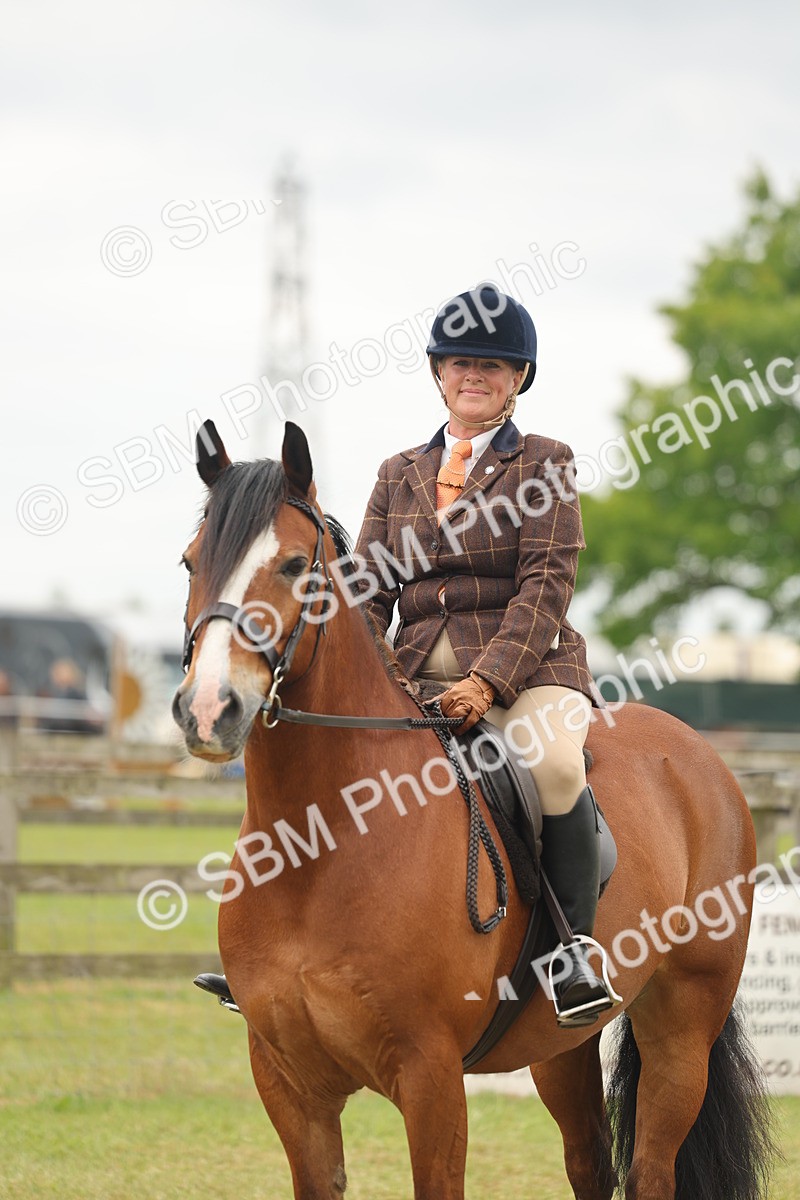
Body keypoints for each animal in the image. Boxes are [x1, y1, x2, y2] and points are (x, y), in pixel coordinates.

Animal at [171, 420, 774, 1200]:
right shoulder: (288, 1084)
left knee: (649, 1168)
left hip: (682, 1024)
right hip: (559, 1045)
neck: (321, 843)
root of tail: (699, 753)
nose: (208, 709)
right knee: (590, 1161)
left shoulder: (430, 1076)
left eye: (298, 566)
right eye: (190, 563)